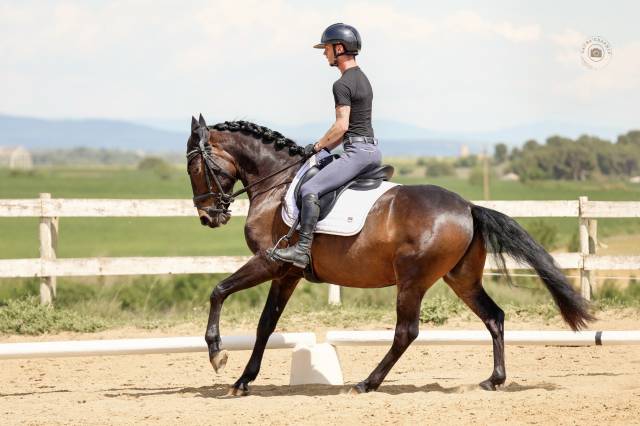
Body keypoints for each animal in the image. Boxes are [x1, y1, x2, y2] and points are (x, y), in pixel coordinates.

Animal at [185, 114, 594, 396]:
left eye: (193, 166)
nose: (208, 217)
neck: (276, 183)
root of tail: (467, 207)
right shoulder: (286, 274)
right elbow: (265, 325)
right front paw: (242, 381)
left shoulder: (271, 262)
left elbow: (219, 291)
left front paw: (217, 354)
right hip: (461, 279)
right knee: (494, 317)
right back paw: (494, 380)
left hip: (413, 280)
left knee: (406, 332)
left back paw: (367, 383)